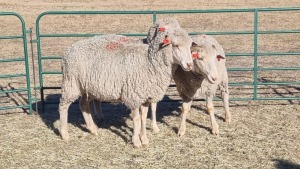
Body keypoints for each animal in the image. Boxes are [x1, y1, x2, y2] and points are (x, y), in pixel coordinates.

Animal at [59, 17, 195, 148]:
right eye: (176, 45)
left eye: (190, 46)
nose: (190, 65)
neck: (149, 62)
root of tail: (67, 51)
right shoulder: (133, 96)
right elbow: (136, 119)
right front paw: (136, 141)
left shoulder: (145, 96)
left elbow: (144, 116)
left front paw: (144, 139)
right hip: (71, 84)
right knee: (63, 105)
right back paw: (64, 133)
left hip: (87, 87)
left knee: (83, 105)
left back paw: (93, 129)